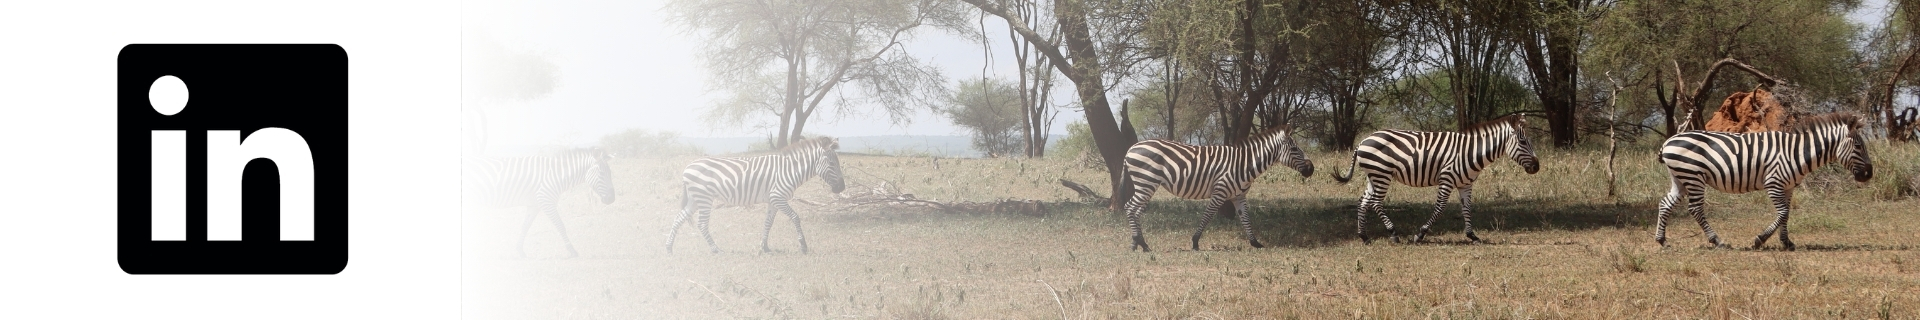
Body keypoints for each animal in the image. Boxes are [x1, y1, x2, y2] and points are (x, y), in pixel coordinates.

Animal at [462, 147, 618, 256]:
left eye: (610, 173)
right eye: (601, 173)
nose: (612, 199)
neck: (555, 176)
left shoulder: (534, 205)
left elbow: (525, 226)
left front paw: (519, 251)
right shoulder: (546, 202)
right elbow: (561, 226)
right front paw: (572, 251)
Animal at [672, 136, 844, 252]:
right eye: (831, 163)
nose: (842, 188)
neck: (789, 170)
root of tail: (687, 167)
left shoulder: (773, 200)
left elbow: (768, 223)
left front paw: (764, 246)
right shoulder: (778, 197)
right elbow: (795, 217)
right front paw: (803, 245)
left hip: (695, 199)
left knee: (679, 218)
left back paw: (669, 247)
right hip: (704, 198)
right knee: (701, 224)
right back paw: (715, 249)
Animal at [1121, 124, 1313, 252]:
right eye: (1294, 149)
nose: (1311, 169)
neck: (1244, 165)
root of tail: (1130, 148)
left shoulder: (1239, 196)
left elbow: (1246, 219)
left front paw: (1255, 242)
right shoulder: (1220, 192)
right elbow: (1207, 216)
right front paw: (1195, 242)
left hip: (1146, 184)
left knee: (1136, 211)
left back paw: (1139, 244)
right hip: (1147, 182)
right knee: (1130, 207)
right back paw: (1139, 243)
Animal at [1336, 116, 1543, 243]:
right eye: (1523, 142)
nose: (1537, 167)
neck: (1471, 153)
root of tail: (1362, 142)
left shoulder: (1465, 184)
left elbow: (1467, 208)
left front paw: (1472, 235)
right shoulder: (1447, 179)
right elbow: (1440, 207)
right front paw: (1420, 234)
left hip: (1373, 175)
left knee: (1363, 202)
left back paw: (1364, 237)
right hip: (1382, 174)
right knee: (1376, 202)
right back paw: (1393, 233)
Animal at [1658, 112, 1866, 249]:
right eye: (1858, 146)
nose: (1869, 174)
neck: (1796, 153)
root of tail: (1668, 142)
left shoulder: (1789, 187)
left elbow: (1786, 214)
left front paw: (1787, 242)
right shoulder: (1774, 183)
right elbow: (1782, 213)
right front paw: (1760, 240)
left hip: (1681, 178)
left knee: (1665, 204)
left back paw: (1662, 240)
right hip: (1693, 176)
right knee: (1695, 209)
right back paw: (1718, 241)